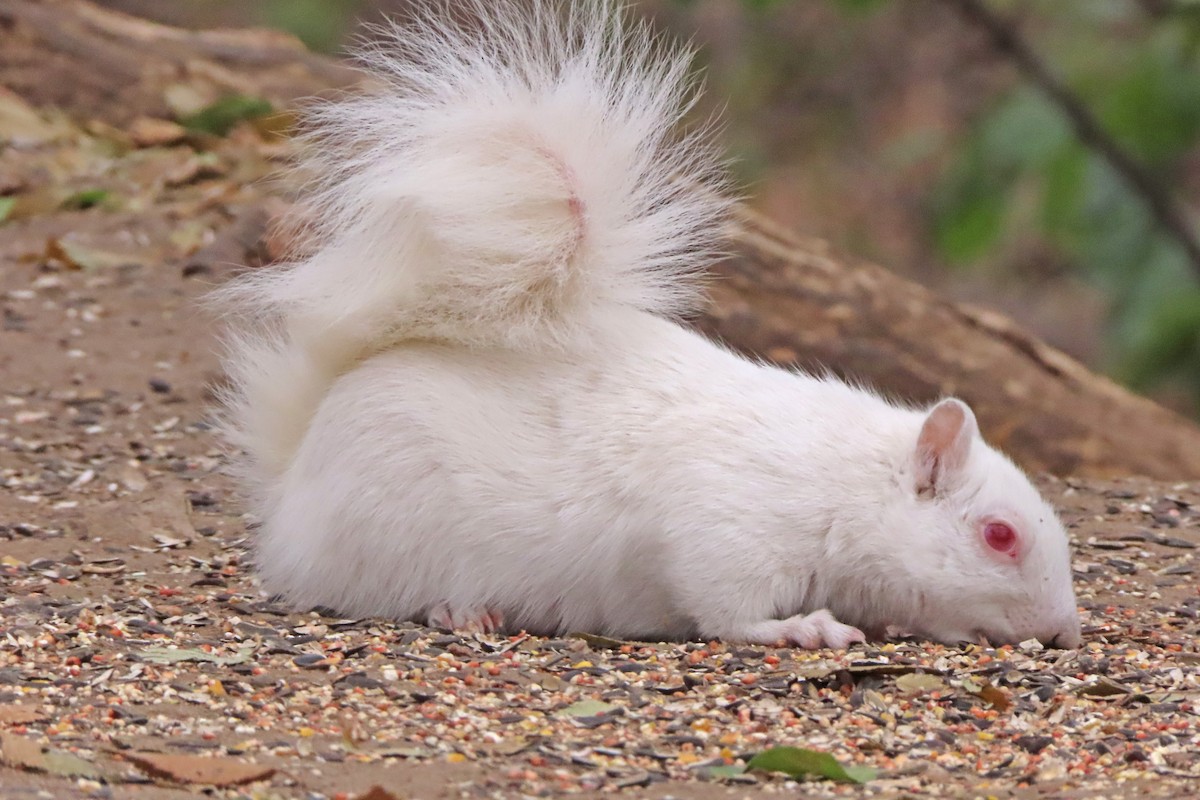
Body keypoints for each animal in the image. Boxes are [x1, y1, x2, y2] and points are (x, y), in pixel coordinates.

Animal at [214, 0, 1081, 649]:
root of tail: (293, 488)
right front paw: (803, 628)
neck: (841, 482)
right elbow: (729, 608)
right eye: (999, 536)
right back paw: (461, 608)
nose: (1064, 631)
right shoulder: (727, 526)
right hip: (389, 533)